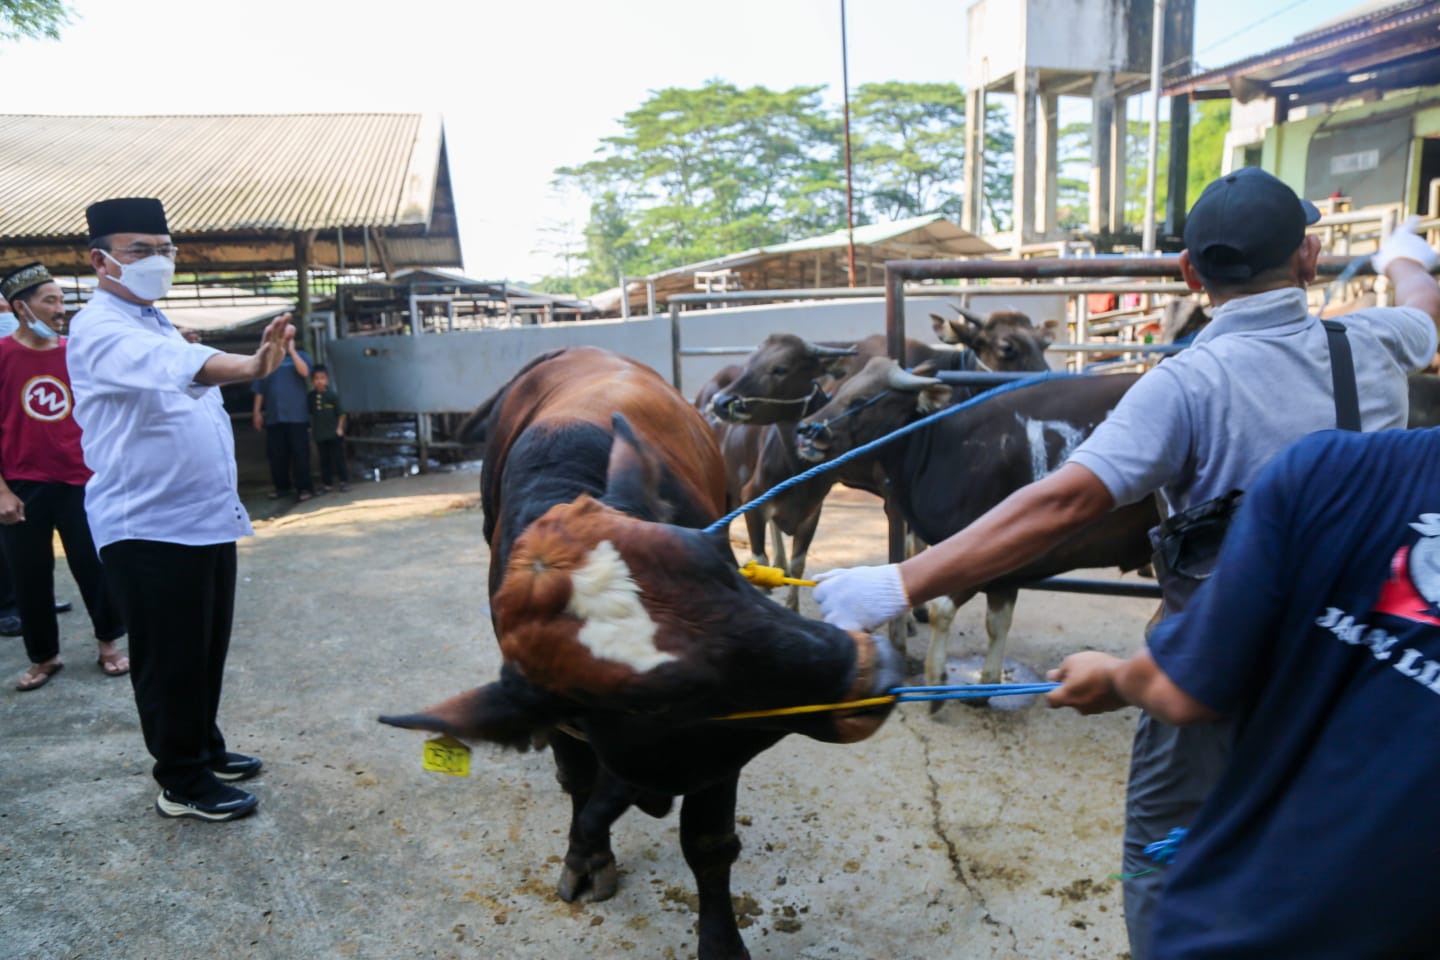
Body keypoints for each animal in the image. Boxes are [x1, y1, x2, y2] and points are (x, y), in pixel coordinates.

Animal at [383, 349, 898, 960]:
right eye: (658, 705)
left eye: (722, 568)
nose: (865, 664)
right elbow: (579, 782)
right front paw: (586, 853)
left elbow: (707, 842)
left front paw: (720, 943)